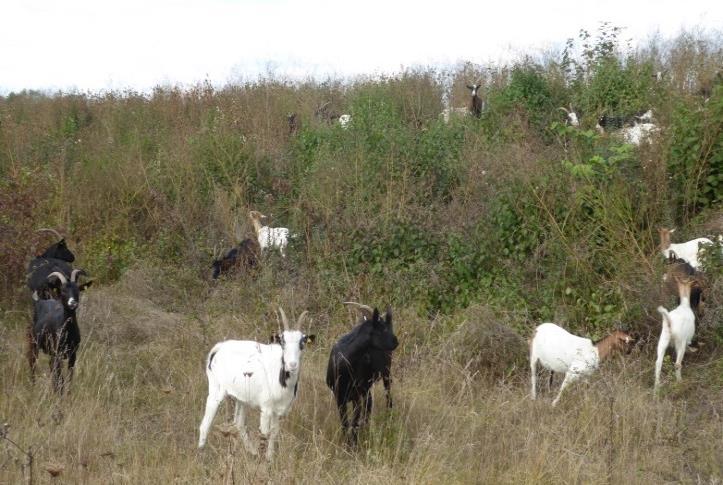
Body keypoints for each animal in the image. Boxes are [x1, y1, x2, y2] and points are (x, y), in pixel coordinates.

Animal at [198, 308, 314, 460]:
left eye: (302, 341)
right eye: (282, 341)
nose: (292, 364)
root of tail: (219, 347)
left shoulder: (278, 410)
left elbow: (274, 432)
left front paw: (269, 458)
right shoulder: (266, 408)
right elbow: (264, 434)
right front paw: (263, 460)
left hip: (241, 398)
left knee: (239, 424)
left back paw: (252, 452)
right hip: (215, 390)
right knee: (205, 423)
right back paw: (201, 453)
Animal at [328, 302, 402, 446]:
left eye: (390, 328)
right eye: (382, 329)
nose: (396, 342)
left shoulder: (356, 397)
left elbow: (354, 422)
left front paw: (353, 444)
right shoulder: (339, 396)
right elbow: (345, 423)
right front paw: (348, 443)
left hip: (385, 374)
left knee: (387, 397)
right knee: (369, 405)